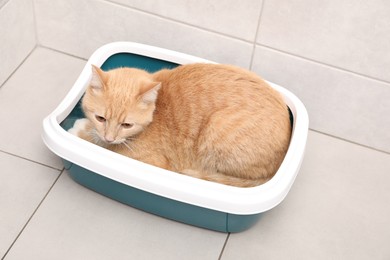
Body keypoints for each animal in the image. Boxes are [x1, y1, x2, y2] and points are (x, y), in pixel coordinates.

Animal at [68, 64, 290, 188]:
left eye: (127, 124)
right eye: (101, 118)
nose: (109, 136)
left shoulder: (148, 160)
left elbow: (110, 148)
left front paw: (81, 130)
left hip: (216, 128)